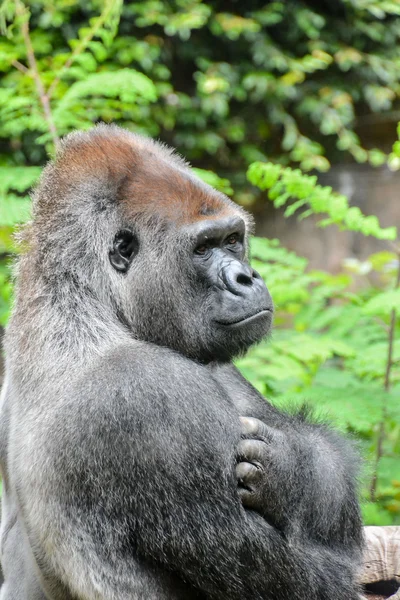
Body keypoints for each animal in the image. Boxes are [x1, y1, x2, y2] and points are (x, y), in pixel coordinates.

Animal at [0, 123, 362, 600]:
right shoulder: (153, 392)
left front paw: (291, 465)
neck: (82, 300)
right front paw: (288, 472)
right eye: (204, 248)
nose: (248, 278)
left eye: (233, 240)